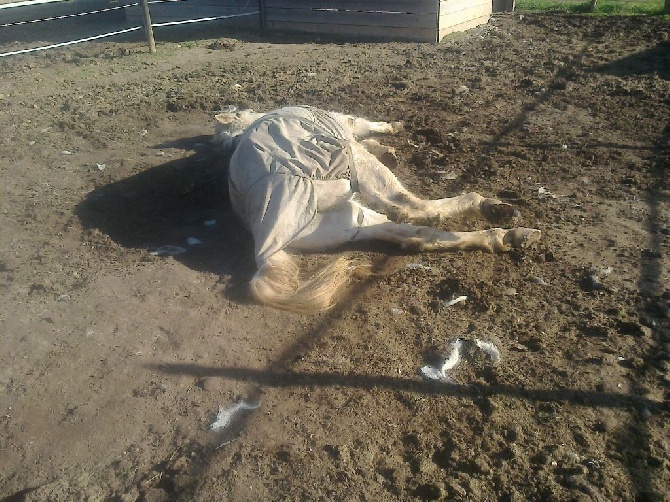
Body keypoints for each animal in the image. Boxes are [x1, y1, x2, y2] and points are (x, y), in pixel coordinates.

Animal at [213, 104, 544, 312]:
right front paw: (393, 131)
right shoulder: (348, 126)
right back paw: (492, 208)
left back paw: (509, 235)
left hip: (348, 221)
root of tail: (263, 238)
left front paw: (390, 146)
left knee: (415, 232)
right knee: (411, 206)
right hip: (356, 165)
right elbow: (367, 125)